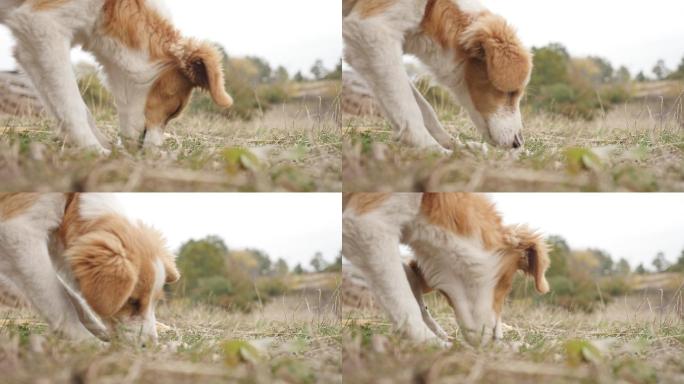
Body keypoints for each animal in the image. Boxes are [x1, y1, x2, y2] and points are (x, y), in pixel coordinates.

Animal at [0, 0, 232, 153]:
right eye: (175, 110)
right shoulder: (43, 24)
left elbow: (70, 106)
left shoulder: (31, 49)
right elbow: (73, 106)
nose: (153, 154)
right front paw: (95, 151)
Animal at [0, 194, 179, 344]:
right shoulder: (19, 232)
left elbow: (73, 299)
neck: (72, 201)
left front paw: (101, 334)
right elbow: (60, 303)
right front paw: (93, 344)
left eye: (155, 301)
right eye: (131, 301)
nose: (149, 346)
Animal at [344, 0, 532, 153]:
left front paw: (456, 146)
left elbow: (424, 107)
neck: (432, 8)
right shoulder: (373, 30)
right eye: (511, 93)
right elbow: (409, 107)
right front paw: (432, 149)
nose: (518, 144)